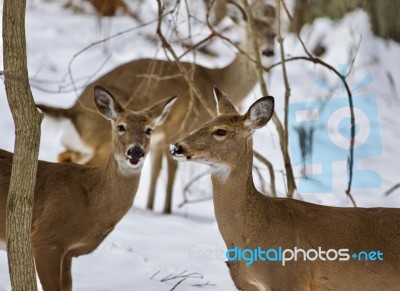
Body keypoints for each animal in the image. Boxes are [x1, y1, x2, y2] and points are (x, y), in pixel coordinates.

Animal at [0, 85, 177, 290]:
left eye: (149, 130)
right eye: (121, 126)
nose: (135, 151)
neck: (91, 203)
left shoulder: (67, 253)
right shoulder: (45, 239)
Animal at [36, 0, 276, 214]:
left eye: (274, 34)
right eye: (252, 33)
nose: (268, 52)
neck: (213, 80)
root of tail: (72, 111)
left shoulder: (159, 139)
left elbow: (154, 172)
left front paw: (151, 208)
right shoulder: (176, 129)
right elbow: (169, 173)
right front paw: (166, 211)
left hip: (82, 145)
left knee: (64, 156)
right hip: (103, 142)